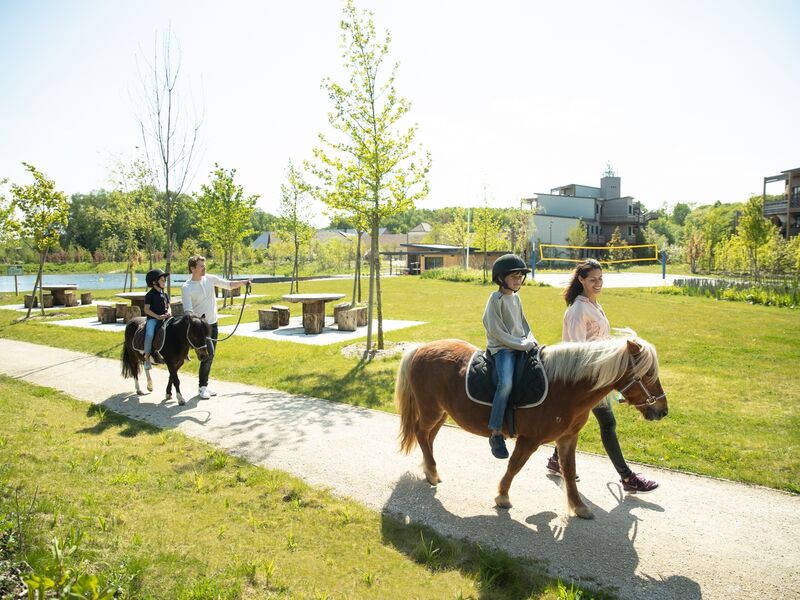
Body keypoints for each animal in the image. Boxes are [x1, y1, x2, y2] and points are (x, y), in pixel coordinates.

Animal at [396, 336, 668, 516]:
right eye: (648, 374)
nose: (662, 410)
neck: (564, 388)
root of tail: (420, 348)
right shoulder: (529, 439)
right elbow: (515, 465)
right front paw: (502, 496)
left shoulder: (568, 438)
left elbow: (569, 471)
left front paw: (579, 506)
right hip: (431, 410)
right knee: (421, 432)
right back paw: (432, 472)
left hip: (441, 413)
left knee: (428, 438)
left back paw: (429, 469)